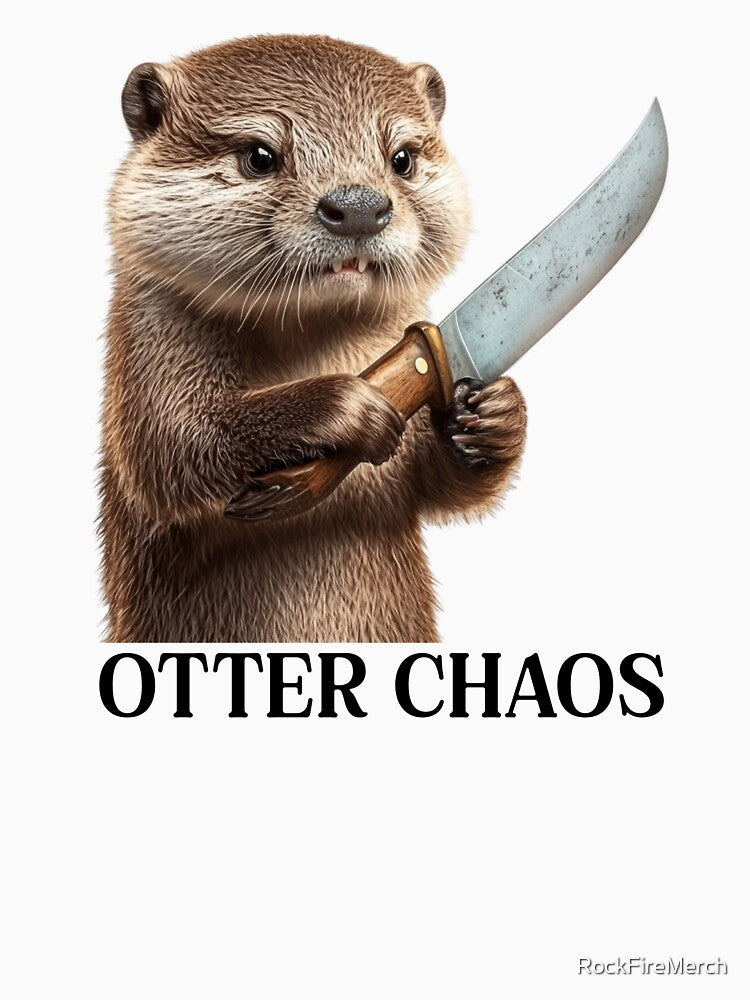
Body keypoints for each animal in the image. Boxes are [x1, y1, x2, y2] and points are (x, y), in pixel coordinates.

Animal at [101, 34, 527, 642]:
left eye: (402, 158)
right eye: (260, 156)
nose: (359, 207)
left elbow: (440, 487)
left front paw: (496, 416)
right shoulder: (150, 342)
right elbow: (172, 444)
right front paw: (347, 406)